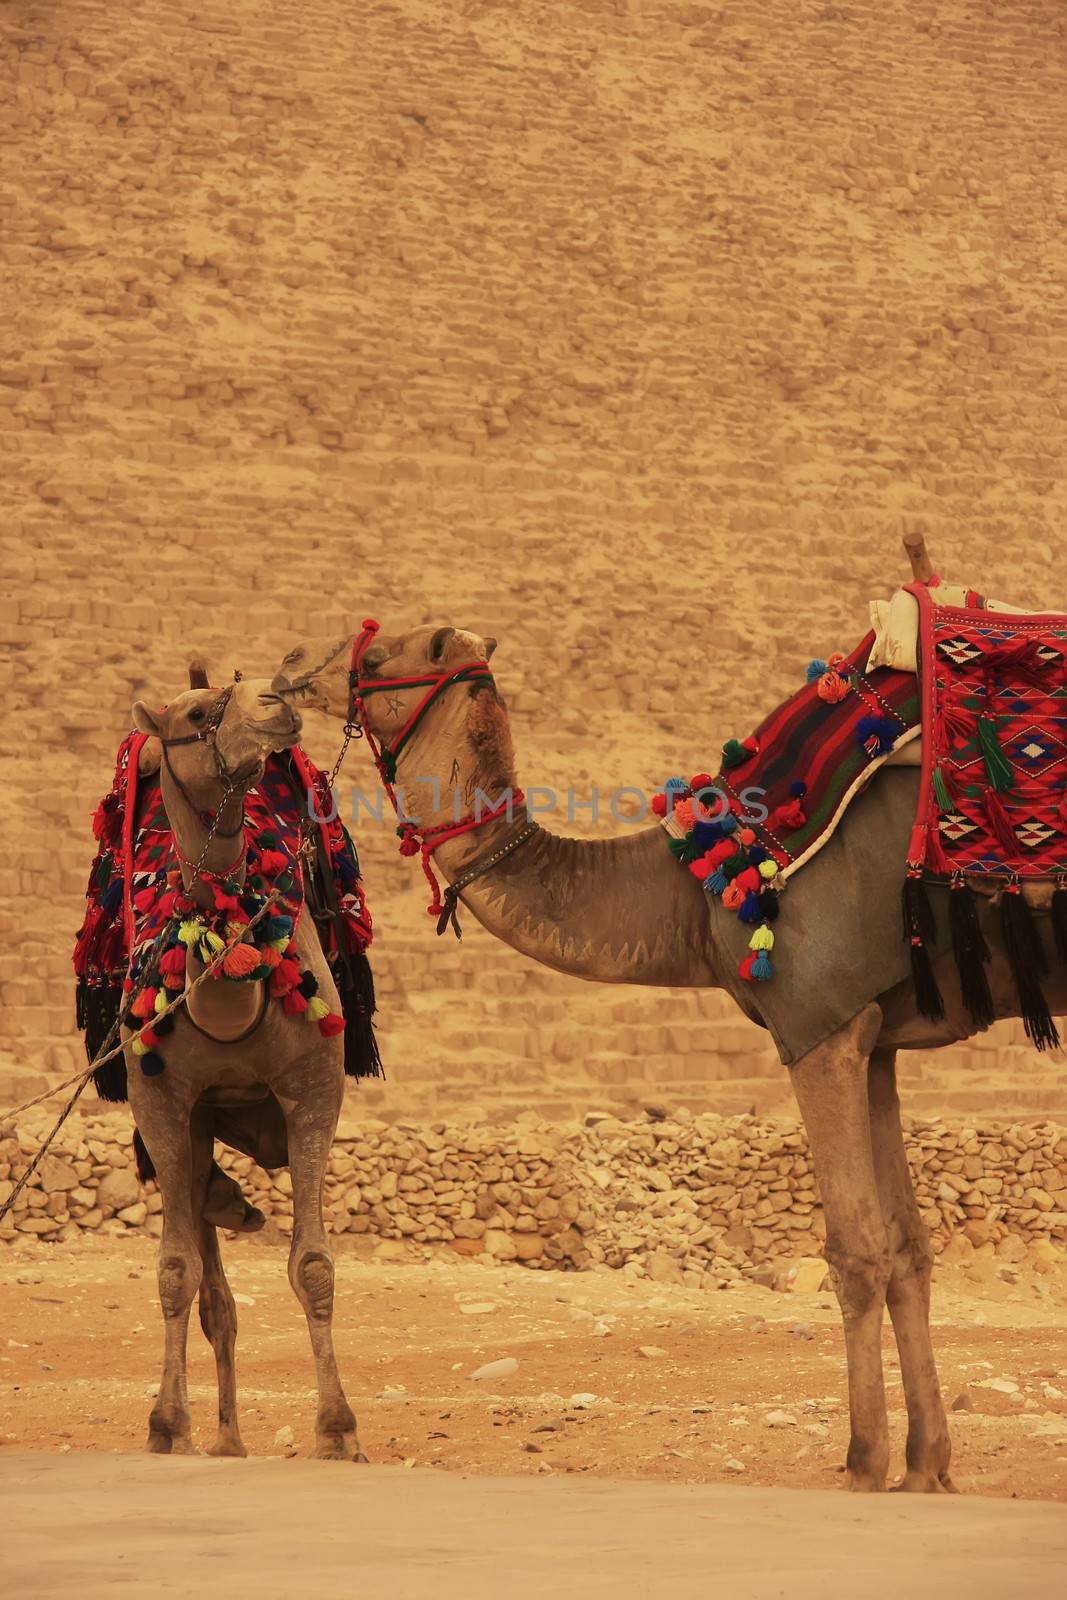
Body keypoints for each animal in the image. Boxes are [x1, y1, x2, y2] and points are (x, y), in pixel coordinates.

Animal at [123, 678, 364, 1465]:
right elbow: (174, 1271)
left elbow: (313, 1265)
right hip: (192, 1131)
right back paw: (220, 1436)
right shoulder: (160, 1099)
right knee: (212, 1290)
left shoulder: (314, 1087)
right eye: (197, 713)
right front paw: (167, 1426)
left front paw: (338, 1429)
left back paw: (232, 1438)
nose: (276, 701)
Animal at [273, 617, 1067, 1491]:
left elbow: (854, 1250)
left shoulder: (816, 1028)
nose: (286, 668)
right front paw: (926, 1469)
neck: (690, 886)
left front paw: (862, 1465)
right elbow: (906, 1249)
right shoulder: (873, 1035)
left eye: (377, 656)